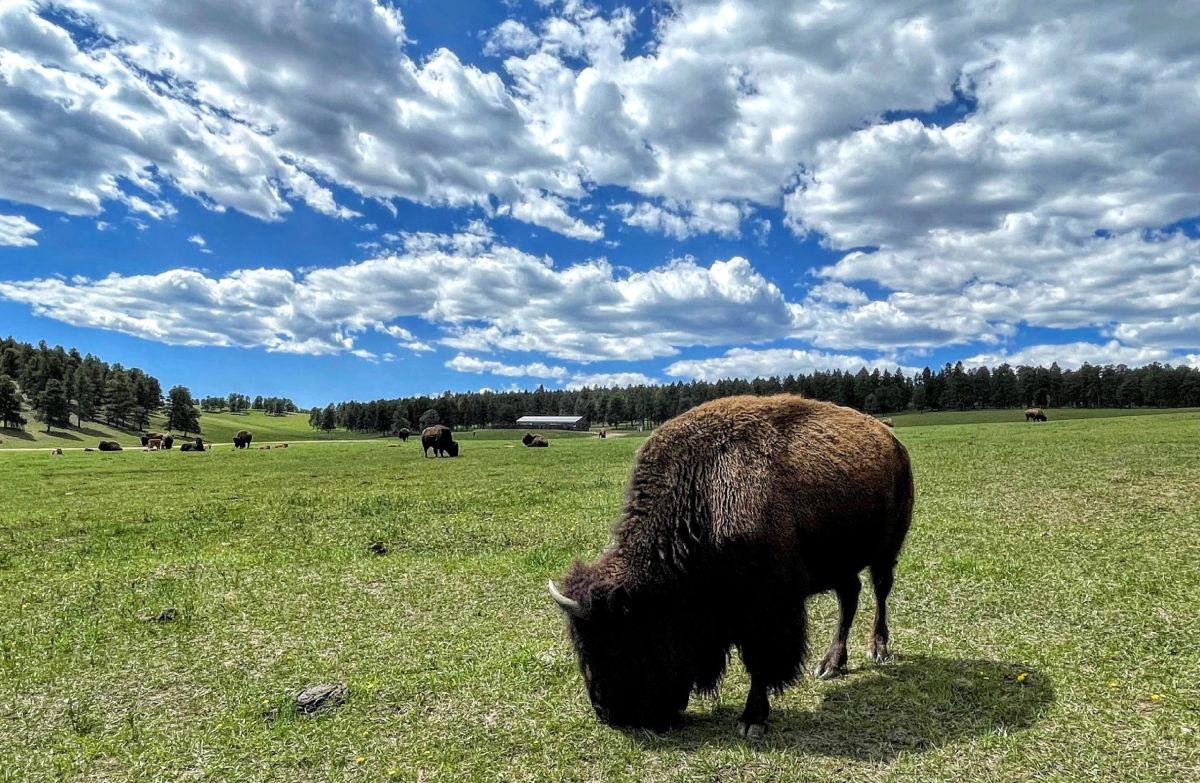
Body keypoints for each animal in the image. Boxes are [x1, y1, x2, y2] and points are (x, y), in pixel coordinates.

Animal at [549, 395, 914, 739]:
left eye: (618, 644)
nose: (609, 714)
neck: (701, 490)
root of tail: (893, 441)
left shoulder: (767, 611)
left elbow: (760, 663)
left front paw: (752, 720)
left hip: (886, 550)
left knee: (879, 591)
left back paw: (877, 649)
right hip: (840, 562)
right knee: (849, 597)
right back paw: (831, 664)